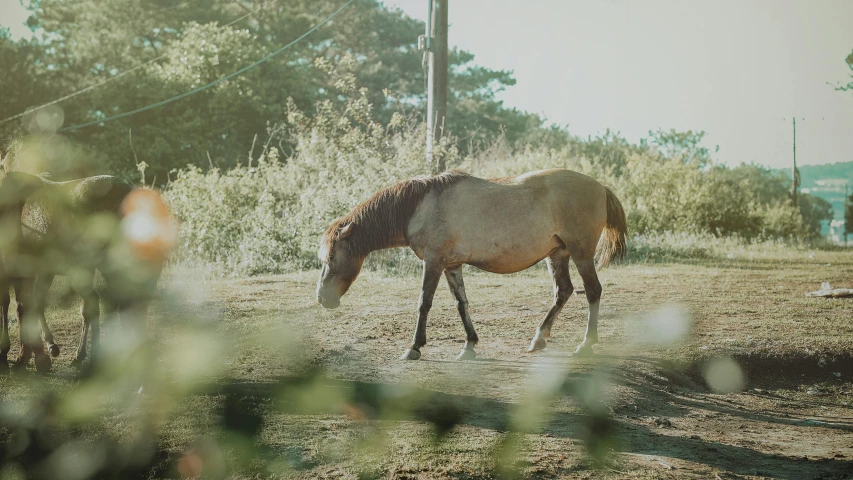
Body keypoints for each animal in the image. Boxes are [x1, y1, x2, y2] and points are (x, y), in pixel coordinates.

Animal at [314, 169, 624, 360]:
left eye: (331, 258)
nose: (321, 298)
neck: (420, 204)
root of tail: (600, 187)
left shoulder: (434, 261)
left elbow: (424, 303)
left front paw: (414, 347)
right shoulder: (451, 265)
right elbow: (461, 304)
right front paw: (469, 345)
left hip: (581, 253)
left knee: (592, 291)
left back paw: (586, 343)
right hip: (557, 254)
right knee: (563, 291)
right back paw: (538, 339)